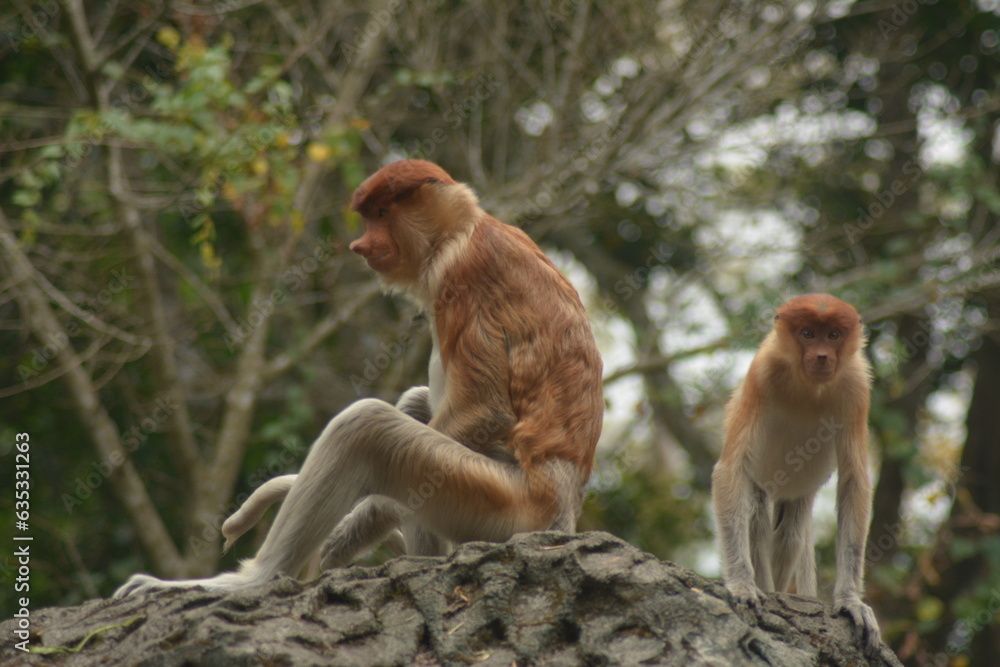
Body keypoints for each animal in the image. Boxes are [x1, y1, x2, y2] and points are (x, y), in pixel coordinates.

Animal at [115, 159, 604, 596]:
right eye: (369, 217)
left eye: (383, 214)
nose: (360, 245)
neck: (461, 230)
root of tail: (564, 509)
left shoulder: (462, 273)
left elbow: (485, 409)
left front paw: (344, 534)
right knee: (411, 402)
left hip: (504, 505)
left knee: (367, 426)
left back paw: (248, 581)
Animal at [711, 293, 881, 654]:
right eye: (807, 333)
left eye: (833, 335)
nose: (821, 356)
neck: (810, 387)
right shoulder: (761, 372)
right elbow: (731, 470)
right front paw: (742, 585)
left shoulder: (857, 387)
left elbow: (854, 482)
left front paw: (851, 602)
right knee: (756, 516)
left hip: (800, 494)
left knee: (790, 534)